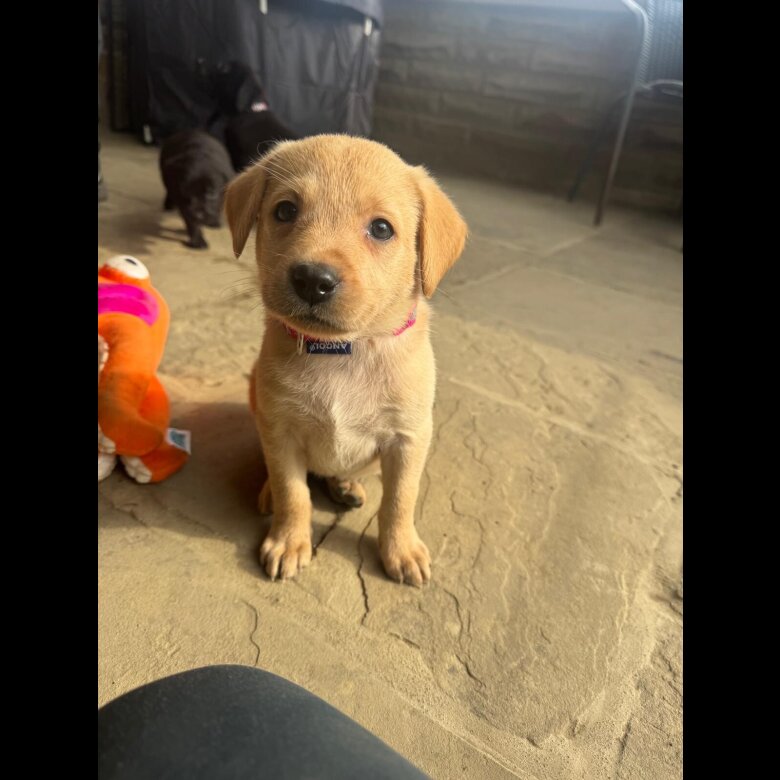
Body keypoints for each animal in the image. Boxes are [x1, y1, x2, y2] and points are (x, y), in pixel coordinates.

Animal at [224, 135, 468, 586]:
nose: (312, 280)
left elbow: (400, 501)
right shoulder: (280, 430)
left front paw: (401, 550)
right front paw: (288, 539)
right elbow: (293, 491)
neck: (343, 351)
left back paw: (346, 485)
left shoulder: (409, 438)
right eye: (285, 210)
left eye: (381, 228)